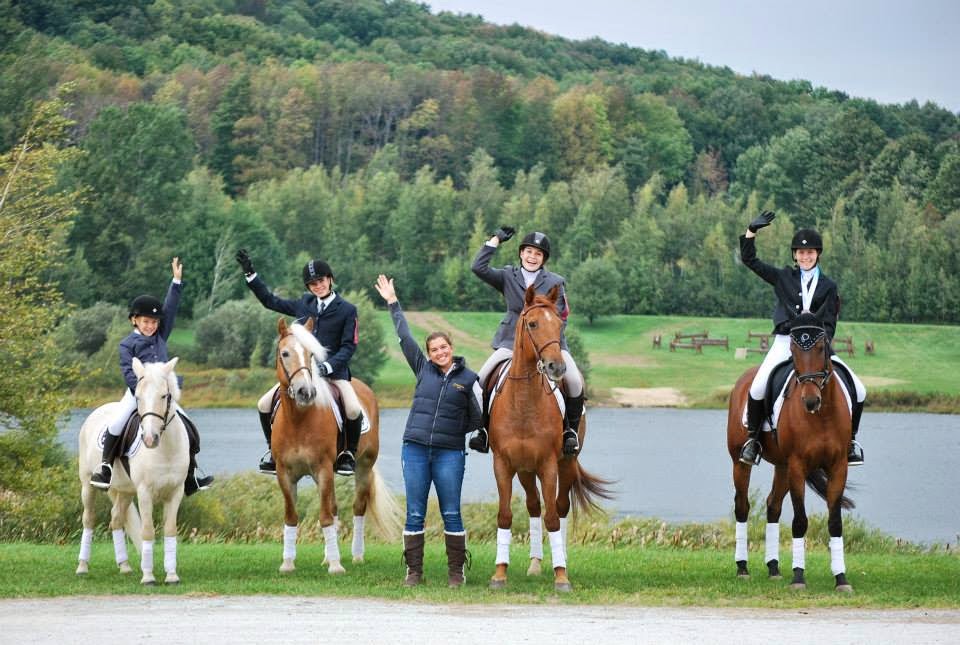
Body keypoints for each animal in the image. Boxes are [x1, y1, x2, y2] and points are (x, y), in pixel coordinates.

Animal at [77, 358, 189, 584]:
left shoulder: (176, 491)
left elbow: (170, 529)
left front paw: (172, 575)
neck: (166, 450)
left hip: (125, 491)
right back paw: (82, 566)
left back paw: (125, 566)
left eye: (164, 396)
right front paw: (148, 577)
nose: (150, 439)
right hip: (87, 485)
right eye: (138, 397)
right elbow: (147, 531)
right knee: (89, 519)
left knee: (116, 519)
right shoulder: (145, 492)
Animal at [270, 316, 402, 572]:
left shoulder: (323, 469)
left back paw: (356, 555)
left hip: (363, 466)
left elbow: (325, 517)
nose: (305, 392)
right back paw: (328, 556)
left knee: (357, 507)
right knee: (333, 507)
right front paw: (288, 563)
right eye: (285, 353)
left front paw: (335, 566)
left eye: (311, 354)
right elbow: (292, 516)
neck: (298, 419)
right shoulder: (285, 473)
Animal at [488, 284, 616, 592]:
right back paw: (535, 564)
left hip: (565, 463)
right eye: (533, 324)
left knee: (560, 507)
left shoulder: (548, 465)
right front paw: (499, 573)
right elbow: (505, 515)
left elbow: (553, 518)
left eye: (559, 324)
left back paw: (562, 560)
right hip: (525, 470)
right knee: (534, 506)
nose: (556, 368)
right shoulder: (503, 464)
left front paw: (561, 576)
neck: (524, 402)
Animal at [728, 304, 856, 592]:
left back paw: (774, 567)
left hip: (782, 466)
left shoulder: (838, 466)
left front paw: (841, 578)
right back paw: (742, 567)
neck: (822, 415)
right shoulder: (798, 464)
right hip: (741, 462)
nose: (810, 401)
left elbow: (835, 522)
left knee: (773, 506)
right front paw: (799, 577)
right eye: (794, 351)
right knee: (742, 506)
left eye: (820, 347)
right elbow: (800, 520)